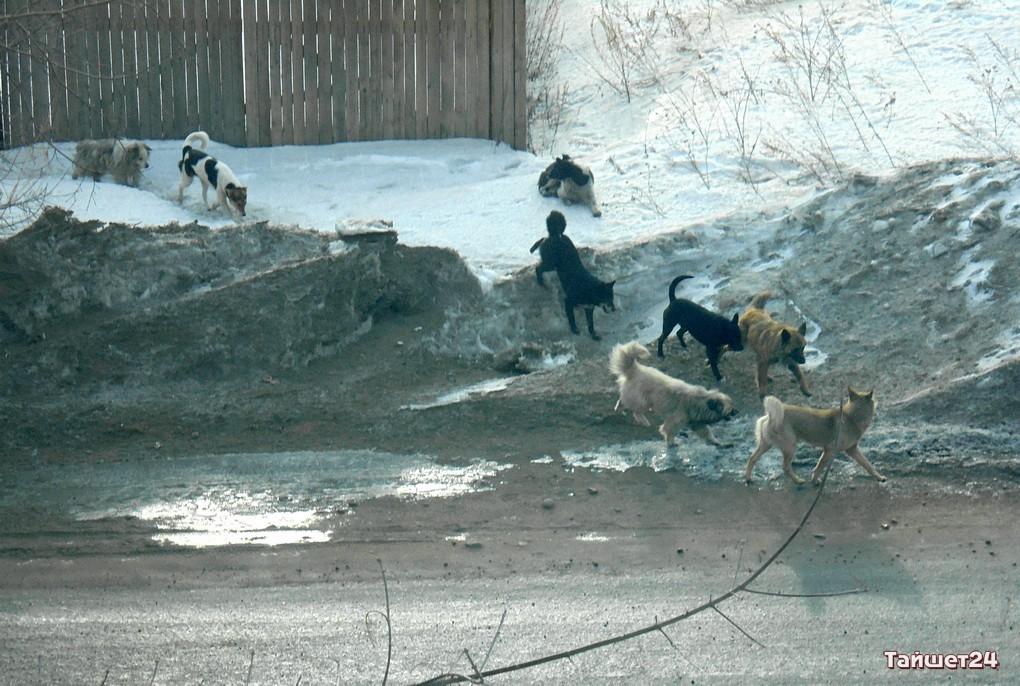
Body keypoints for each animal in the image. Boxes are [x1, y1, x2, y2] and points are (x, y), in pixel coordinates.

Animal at [530, 208, 616, 336]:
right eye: (607, 298)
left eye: (612, 297)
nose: (615, 309)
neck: (590, 289)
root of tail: (557, 235)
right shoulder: (569, 301)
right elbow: (571, 318)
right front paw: (574, 329)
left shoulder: (588, 308)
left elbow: (590, 324)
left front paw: (593, 335)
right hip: (551, 263)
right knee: (538, 267)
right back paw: (540, 281)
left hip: (552, 262)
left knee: (543, 239)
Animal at [607, 340, 738, 446]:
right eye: (730, 410)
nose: (738, 412)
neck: (700, 400)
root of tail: (635, 369)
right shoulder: (675, 420)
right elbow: (668, 430)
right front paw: (671, 442)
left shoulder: (697, 424)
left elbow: (707, 433)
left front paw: (717, 442)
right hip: (642, 401)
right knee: (633, 409)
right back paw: (640, 419)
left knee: (624, 401)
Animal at [742, 387, 885, 485]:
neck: (852, 416)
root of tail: (770, 416)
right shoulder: (830, 450)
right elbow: (820, 466)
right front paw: (815, 480)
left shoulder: (852, 450)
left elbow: (867, 464)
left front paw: (879, 477)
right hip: (790, 447)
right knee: (785, 467)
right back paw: (798, 481)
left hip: (766, 445)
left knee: (752, 458)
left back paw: (748, 478)